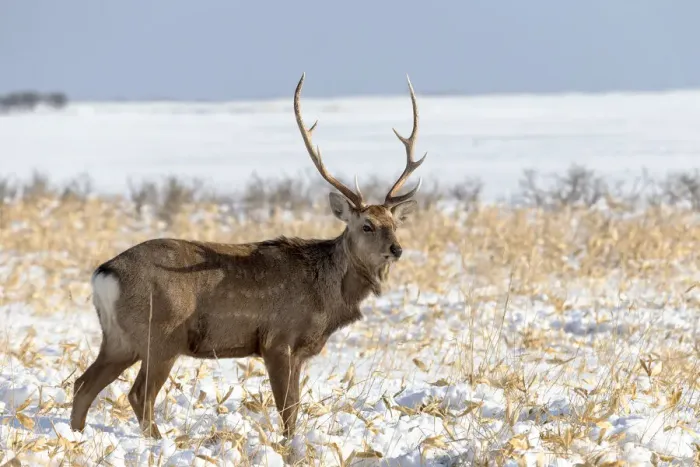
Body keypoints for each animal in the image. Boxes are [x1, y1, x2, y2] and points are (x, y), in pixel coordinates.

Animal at [70, 73, 427, 440]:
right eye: (367, 225)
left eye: (394, 225)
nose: (397, 249)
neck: (327, 296)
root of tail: (104, 274)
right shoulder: (277, 338)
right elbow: (288, 410)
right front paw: (289, 445)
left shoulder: (299, 350)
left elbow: (295, 407)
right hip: (162, 333)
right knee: (138, 394)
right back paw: (157, 441)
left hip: (119, 338)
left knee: (83, 385)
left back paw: (77, 436)